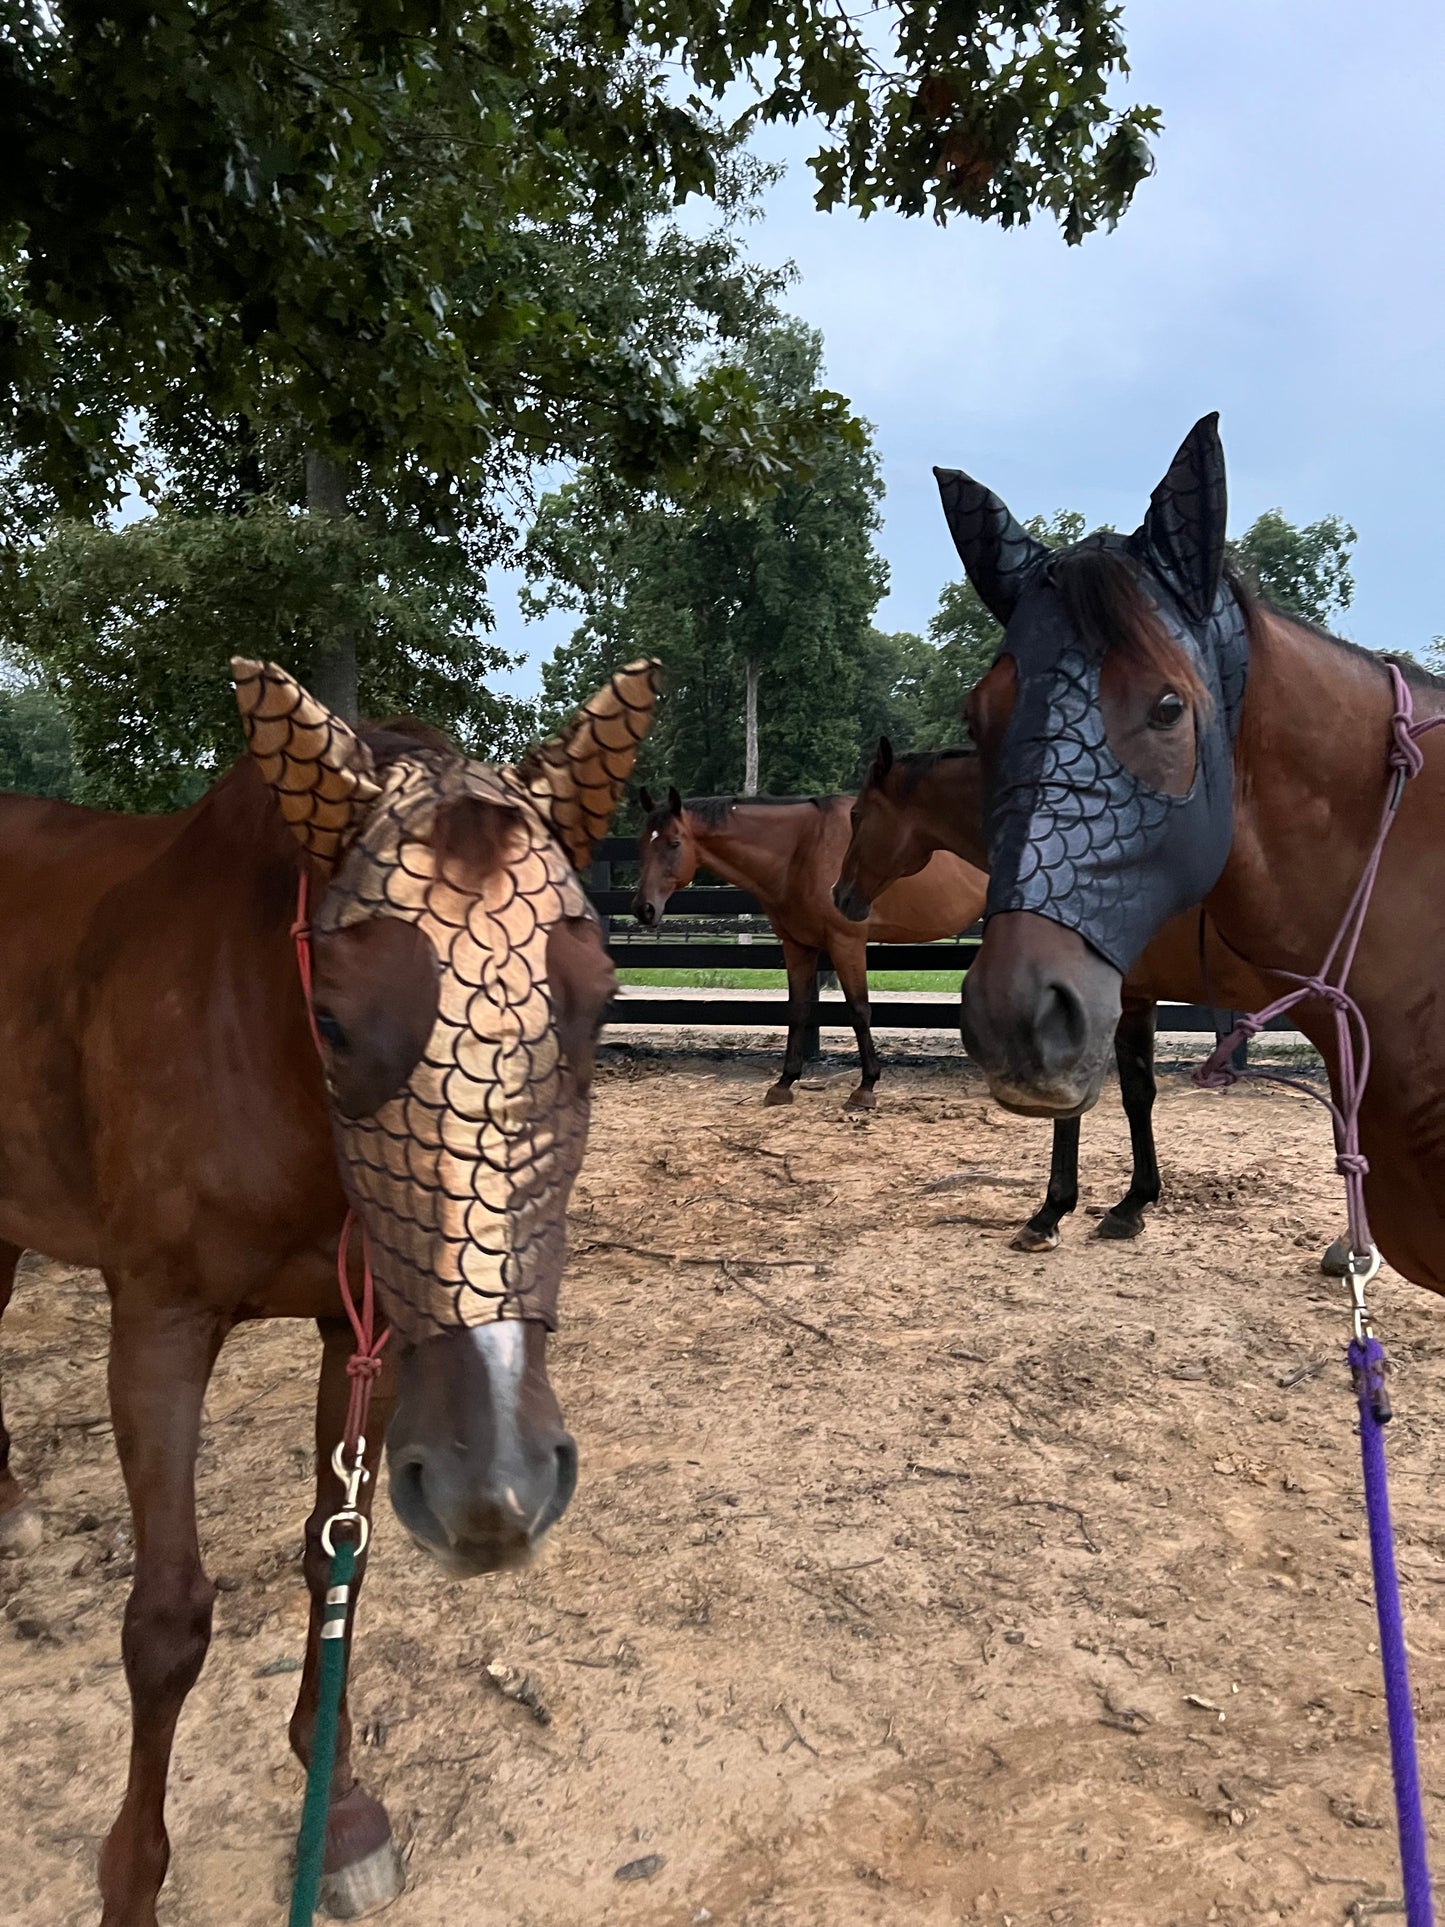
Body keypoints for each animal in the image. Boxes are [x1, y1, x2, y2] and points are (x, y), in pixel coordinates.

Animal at [0, 656, 656, 1926]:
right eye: (335, 1021)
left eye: (601, 1000)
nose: (497, 1491)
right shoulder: (156, 1323)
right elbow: (165, 1622)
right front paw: (131, 1880)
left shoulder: (361, 1329)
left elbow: (330, 1554)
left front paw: (338, 1806)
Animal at [631, 785, 986, 1111]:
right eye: (642, 844)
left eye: (674, 843)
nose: (644, 909)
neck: (805, 848)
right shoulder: (797, 945)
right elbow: (798, 1010)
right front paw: (784, 1083)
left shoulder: (846, 942)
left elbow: (859, 1011)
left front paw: (865, 1088)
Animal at [832, 737, 1280, 1248]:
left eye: (857, 815)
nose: (840, 895)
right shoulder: (1134, 1001)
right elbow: (1138, 1094)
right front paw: (1133, 1205)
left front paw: (1049, 1215)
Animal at [944, 414, 1445, 1294]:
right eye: (979, 715)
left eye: (1169, 706)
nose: (1010, 1017)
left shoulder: (1124, 990)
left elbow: (1124, 1092)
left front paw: (1091, 1206)